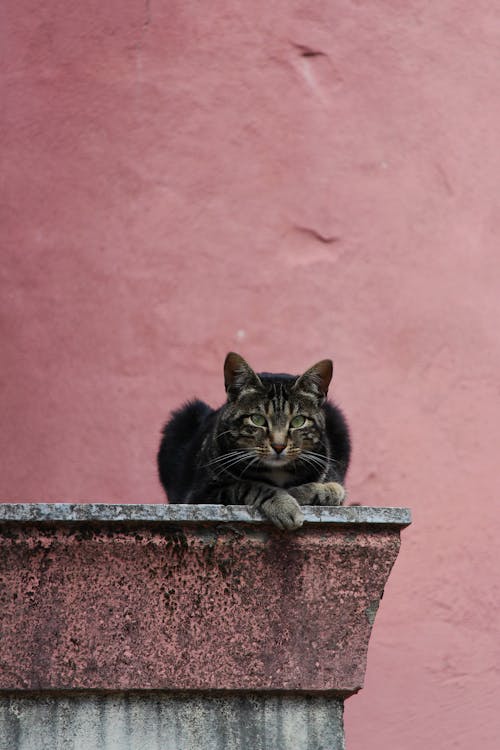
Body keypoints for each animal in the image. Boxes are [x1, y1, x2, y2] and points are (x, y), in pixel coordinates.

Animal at [157, 356, 352, 532]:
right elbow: (249, 486)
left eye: (298, 421)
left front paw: (306, 492)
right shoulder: (201, 496)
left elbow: (335, 488)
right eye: (257, 419)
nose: (279, 446)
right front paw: (285, 504)